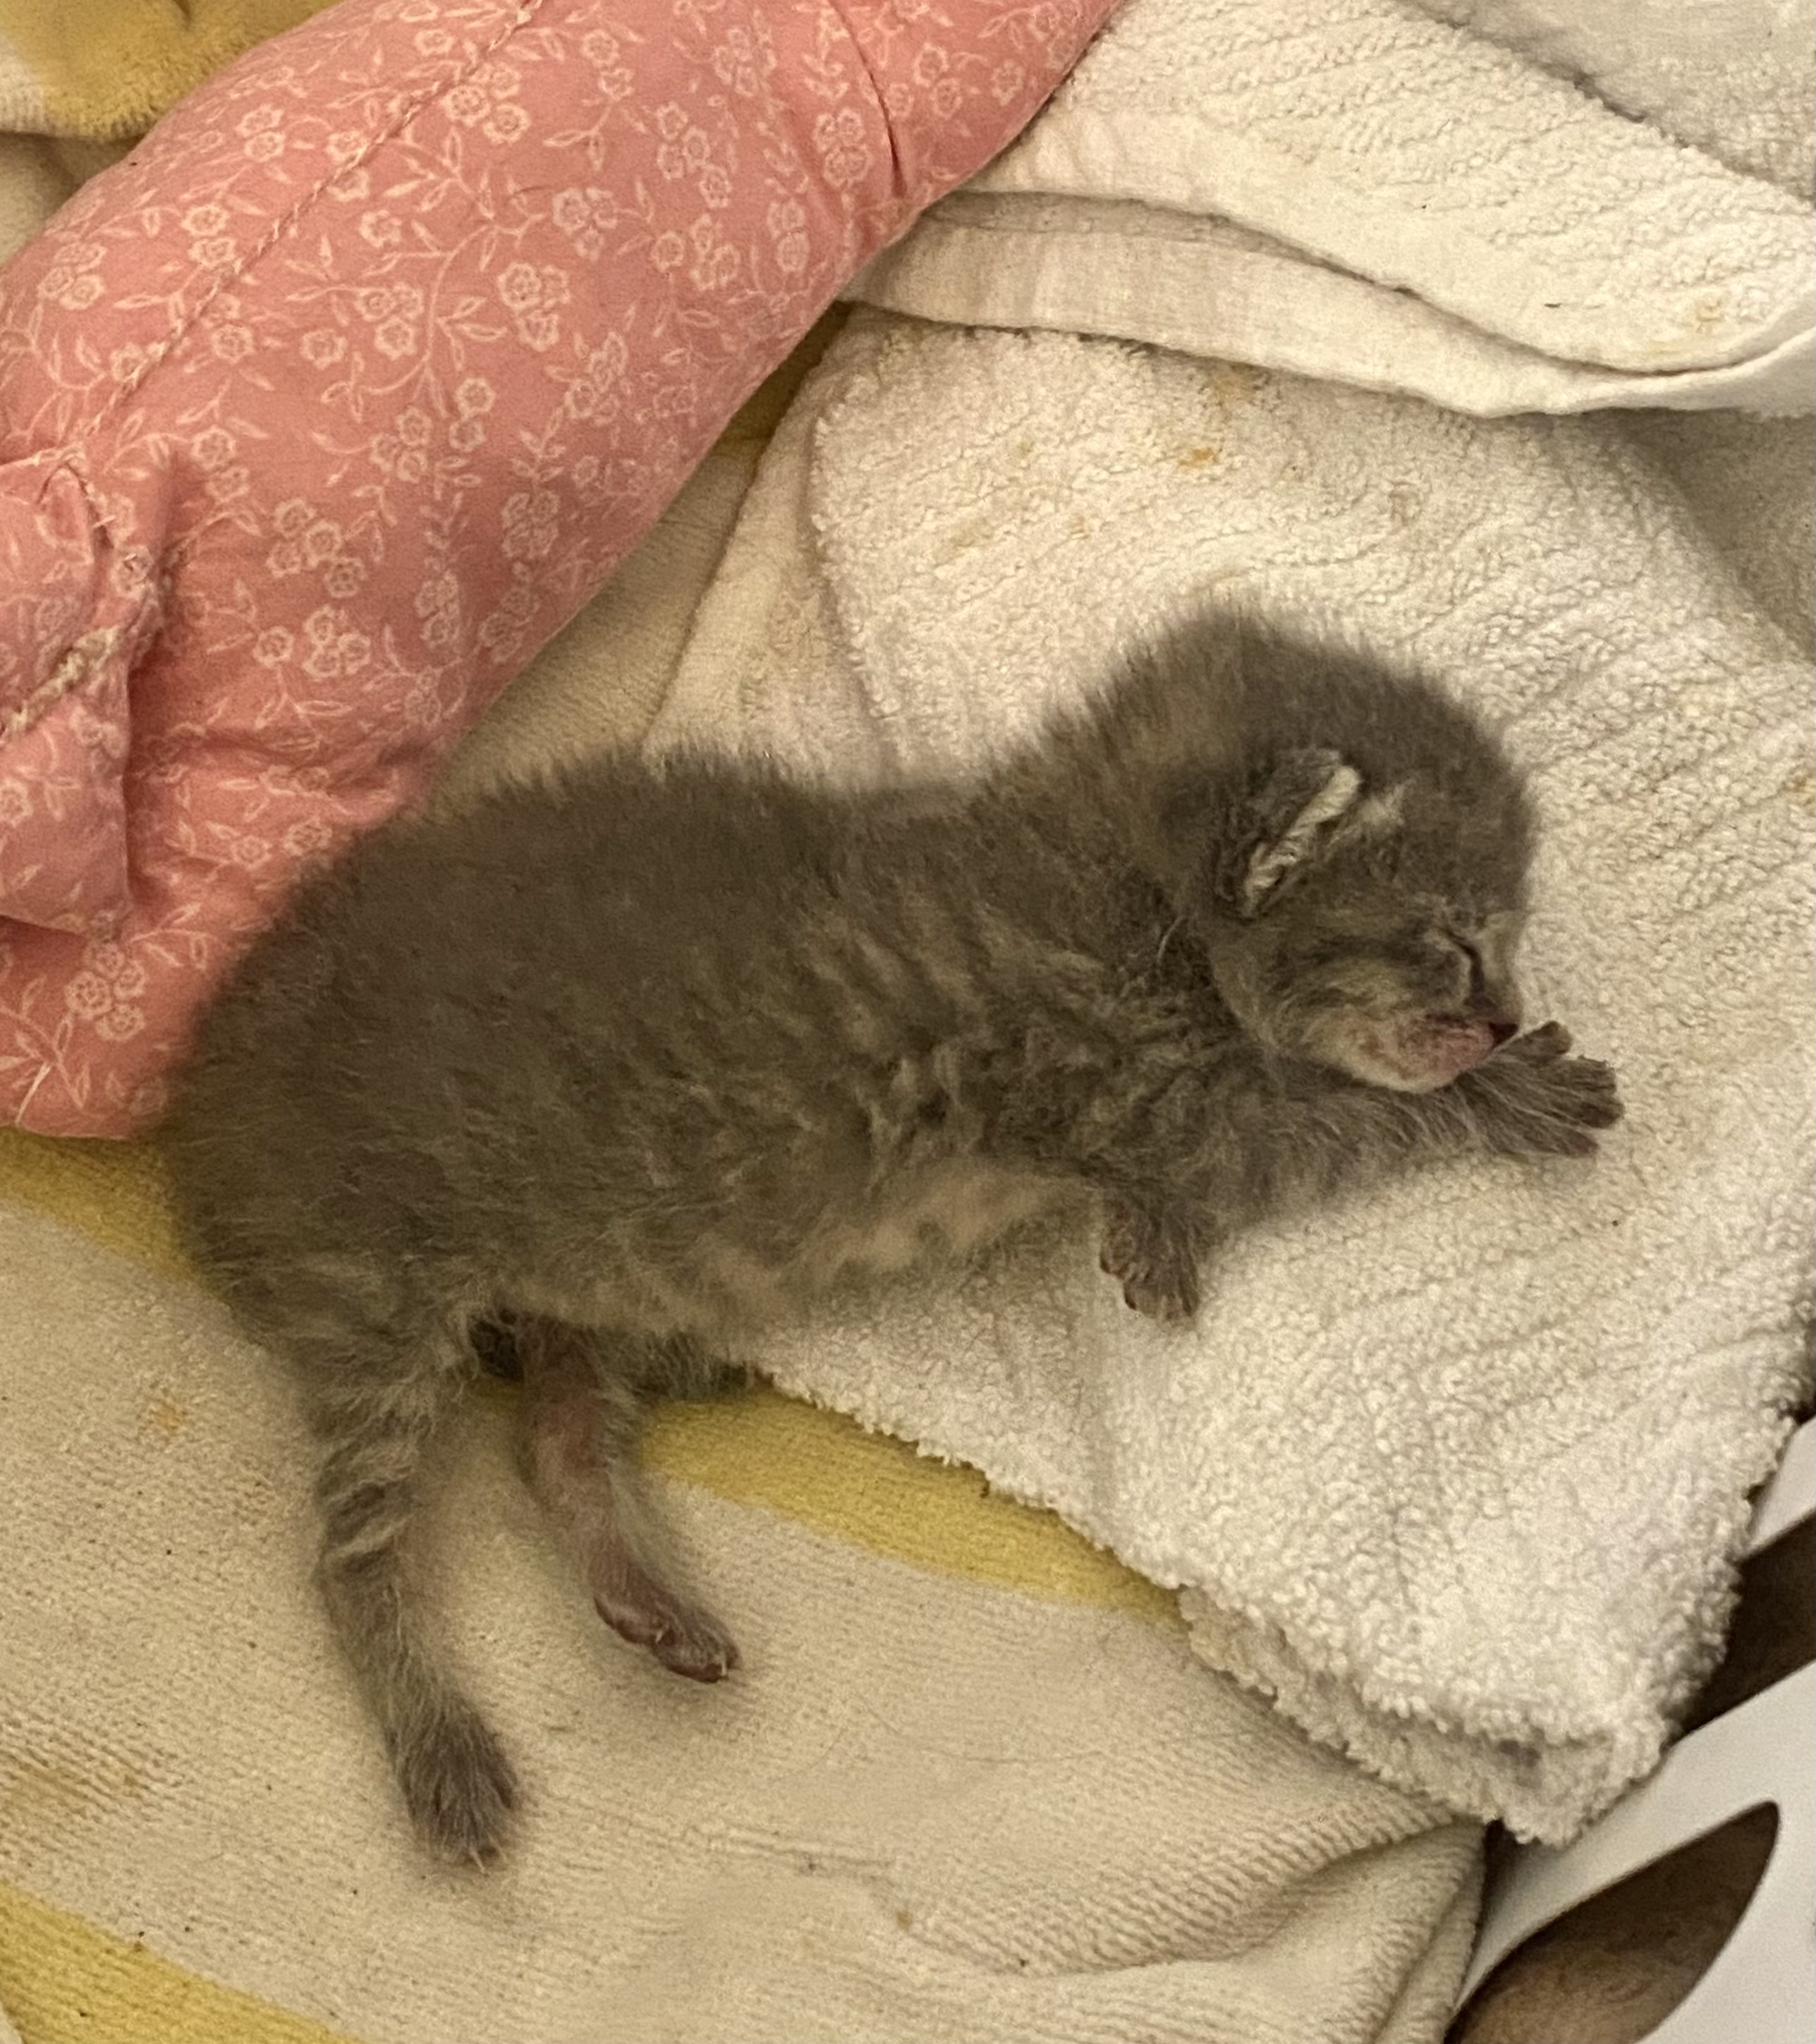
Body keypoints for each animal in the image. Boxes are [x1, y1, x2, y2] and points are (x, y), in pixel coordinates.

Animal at [161, 615, 1621, 1861]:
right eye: (1454, 942)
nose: (1502, 1015)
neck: (1116, 871)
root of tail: (191, 1109)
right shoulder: (1165, 1100)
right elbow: (1347, 1119)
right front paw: (1515, 1096)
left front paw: (1161, 1237)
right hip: (372, 1295)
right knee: (350, 1556)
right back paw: (442, 1749)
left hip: (599, 1273)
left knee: (557, 1432)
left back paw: (647, 1587)